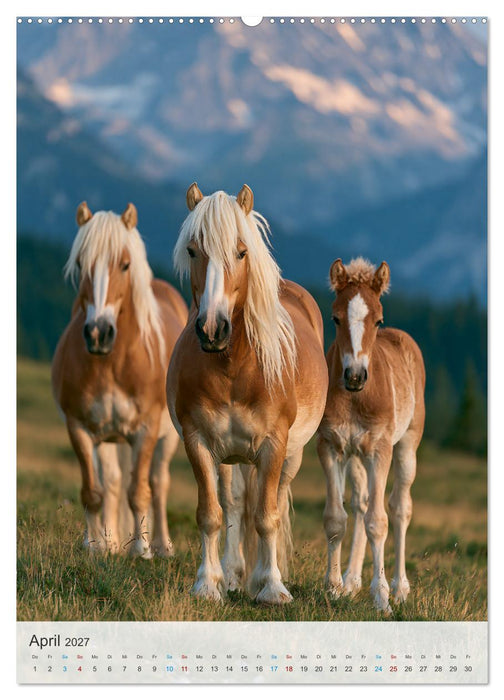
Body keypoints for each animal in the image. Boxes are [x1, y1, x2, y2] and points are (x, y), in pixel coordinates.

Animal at [52, 202, 188, 558]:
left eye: (125, 265)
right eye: (82, 263)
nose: (98, 333)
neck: (112, 364)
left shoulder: (146, 430)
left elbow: (139, 491)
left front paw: (141, 550)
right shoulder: (79, 427)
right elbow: (94, 490)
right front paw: (95, 546)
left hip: (167, 438)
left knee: (158, 482)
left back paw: (162, 545)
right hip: (109, 437)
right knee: (112, 481)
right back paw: (110, 541)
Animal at [167, 183, 328, 604]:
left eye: (241, 252)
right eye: (193, 250)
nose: (212, 329)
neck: (233, 368)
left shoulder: (273, 445)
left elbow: (267, 517)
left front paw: (271, 587)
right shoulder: (198, 441)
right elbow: (212, 514)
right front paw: (208, 585)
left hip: (290, 456)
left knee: (270, 504)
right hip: (229, 457)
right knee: (234, 506)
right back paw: (233, 574)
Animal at [317, 257, 425, 612]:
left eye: (378, 320)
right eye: (335, 318)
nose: (354, 376)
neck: (355, 399)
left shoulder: (380, 449)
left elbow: (379, 522)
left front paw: (382, 598)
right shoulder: (331, 446)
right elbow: (336, 519)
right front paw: (334, 587)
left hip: (406, 445)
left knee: (399, 508)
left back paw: (400, 588)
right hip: (355, 456)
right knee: (360, 503)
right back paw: (351, 581)